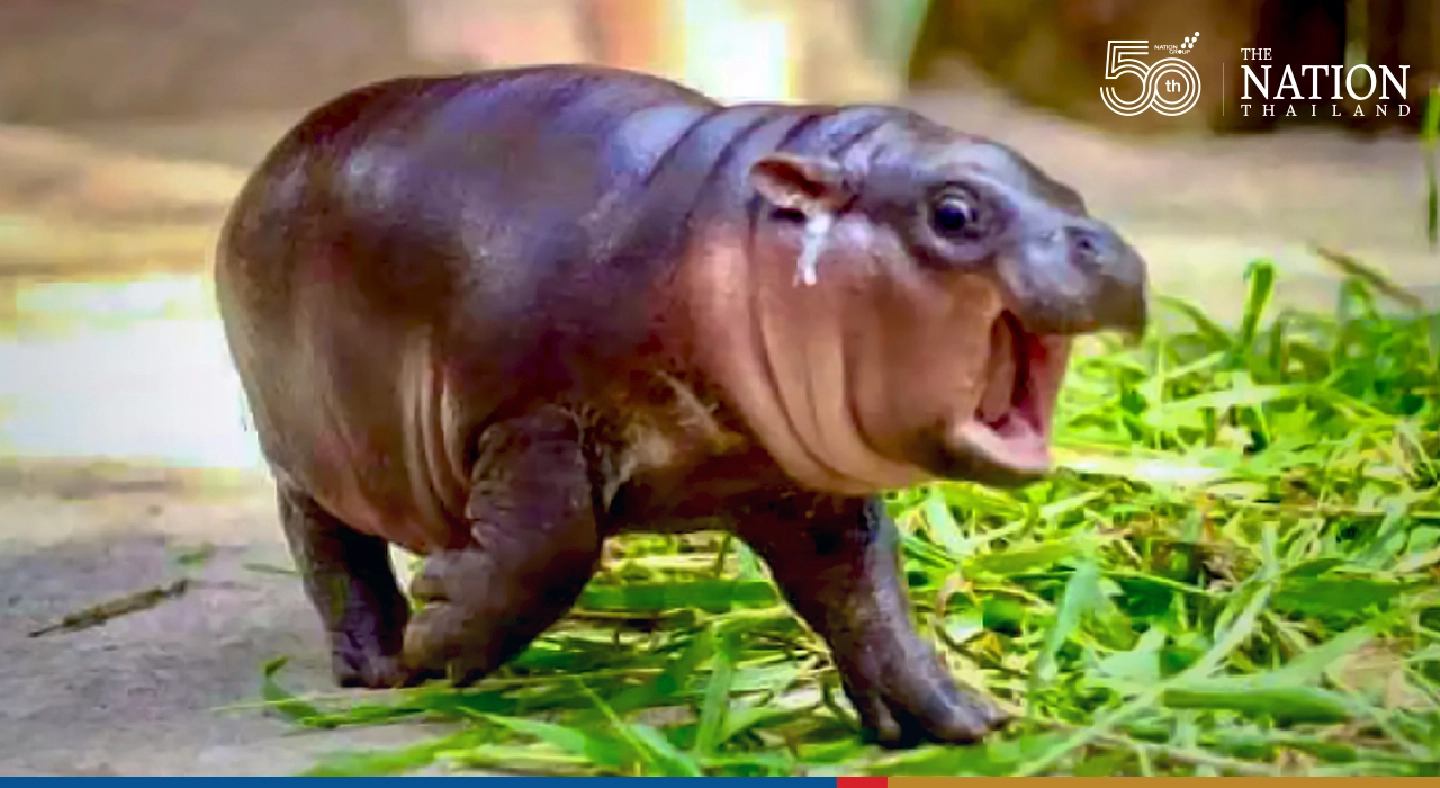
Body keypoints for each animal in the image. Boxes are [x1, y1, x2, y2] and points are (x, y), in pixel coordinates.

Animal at [213, 64, 1147, 749]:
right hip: (305, 445)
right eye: (954, 211)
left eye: (1072, 193)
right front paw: (439, 634)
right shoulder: (530, 422)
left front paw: (961, 719)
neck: (730, 240)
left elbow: (869, 594)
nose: (1112, 253)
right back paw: (379, 663)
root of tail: (265, 166)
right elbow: (550, 552)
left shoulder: (793, 485)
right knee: (324, 538)